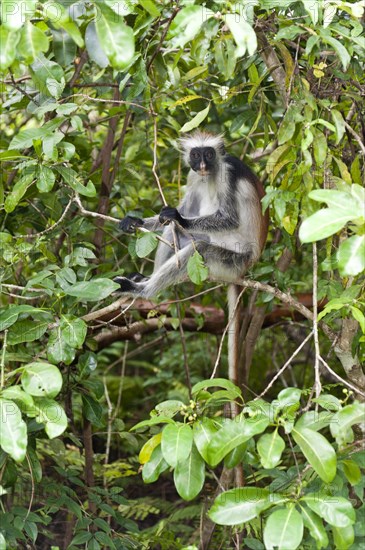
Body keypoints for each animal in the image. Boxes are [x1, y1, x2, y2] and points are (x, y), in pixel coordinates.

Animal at [115, 134, 268, 384]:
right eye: (196, 155)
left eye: (209, 154)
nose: (203, 164)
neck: (210, 174)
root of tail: (245, 270)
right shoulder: (193, 175)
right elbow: (181, 212)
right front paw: (136, 221)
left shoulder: (228, 172)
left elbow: (228, 219)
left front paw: (178, 218)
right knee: (174, 232)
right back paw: (145, 279)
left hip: (231, 261)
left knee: (200, 247)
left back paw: (142, 291)